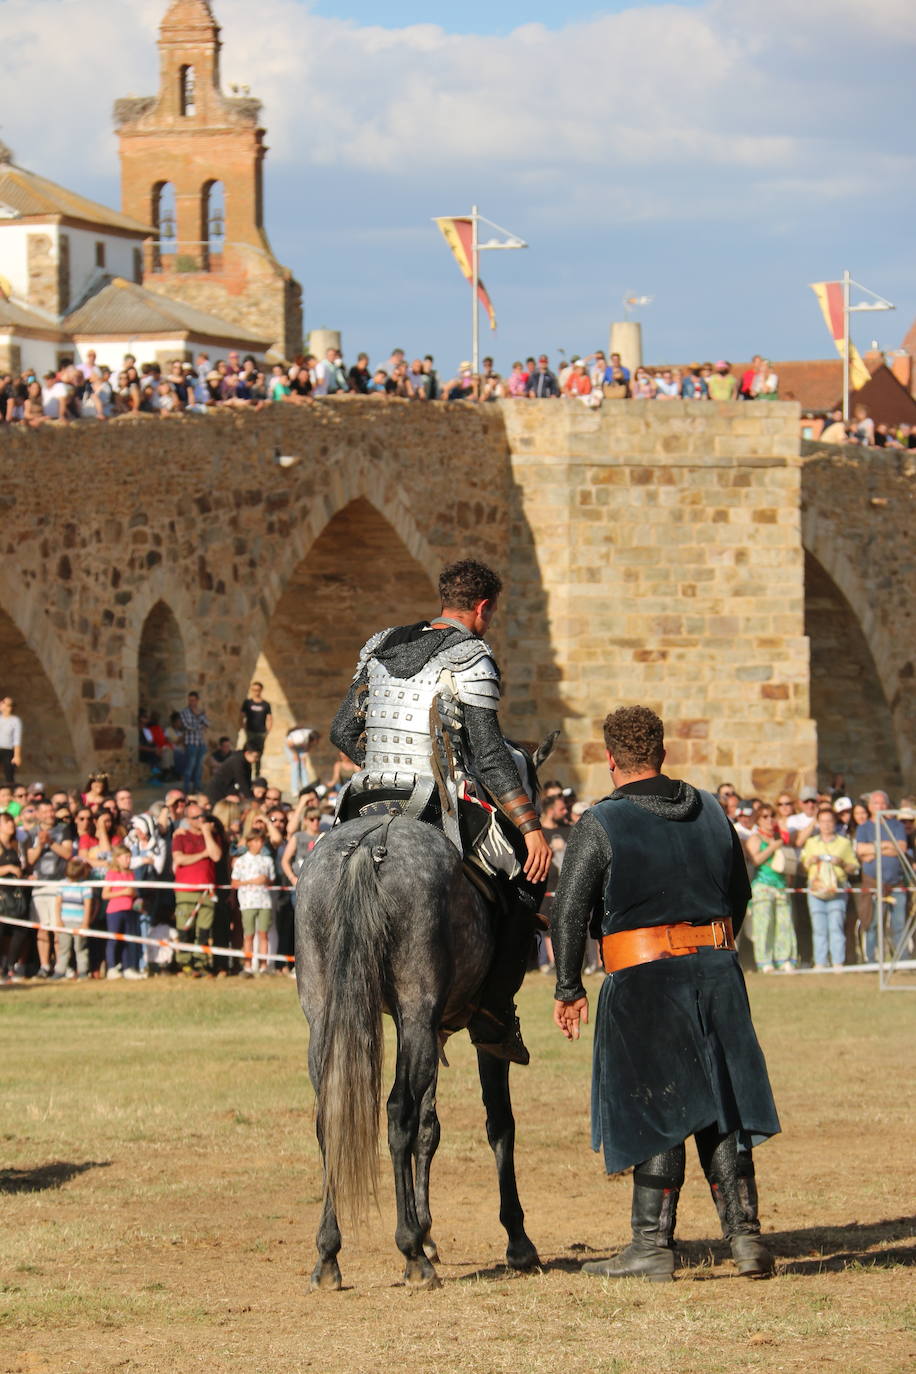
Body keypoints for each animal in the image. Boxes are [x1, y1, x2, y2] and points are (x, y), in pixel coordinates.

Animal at [298, 752, 552, 1286]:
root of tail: (369, 847)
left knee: (330, 1111)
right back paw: (411, 1252)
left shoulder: (429, 1030)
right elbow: (499, 1123)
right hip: (417, 1009)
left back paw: (330, 1254)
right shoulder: (473, 1032)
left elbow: (430, 1128)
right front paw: (517, 1241)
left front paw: (430, 1228)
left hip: (329, 1012)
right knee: (397, 1112)